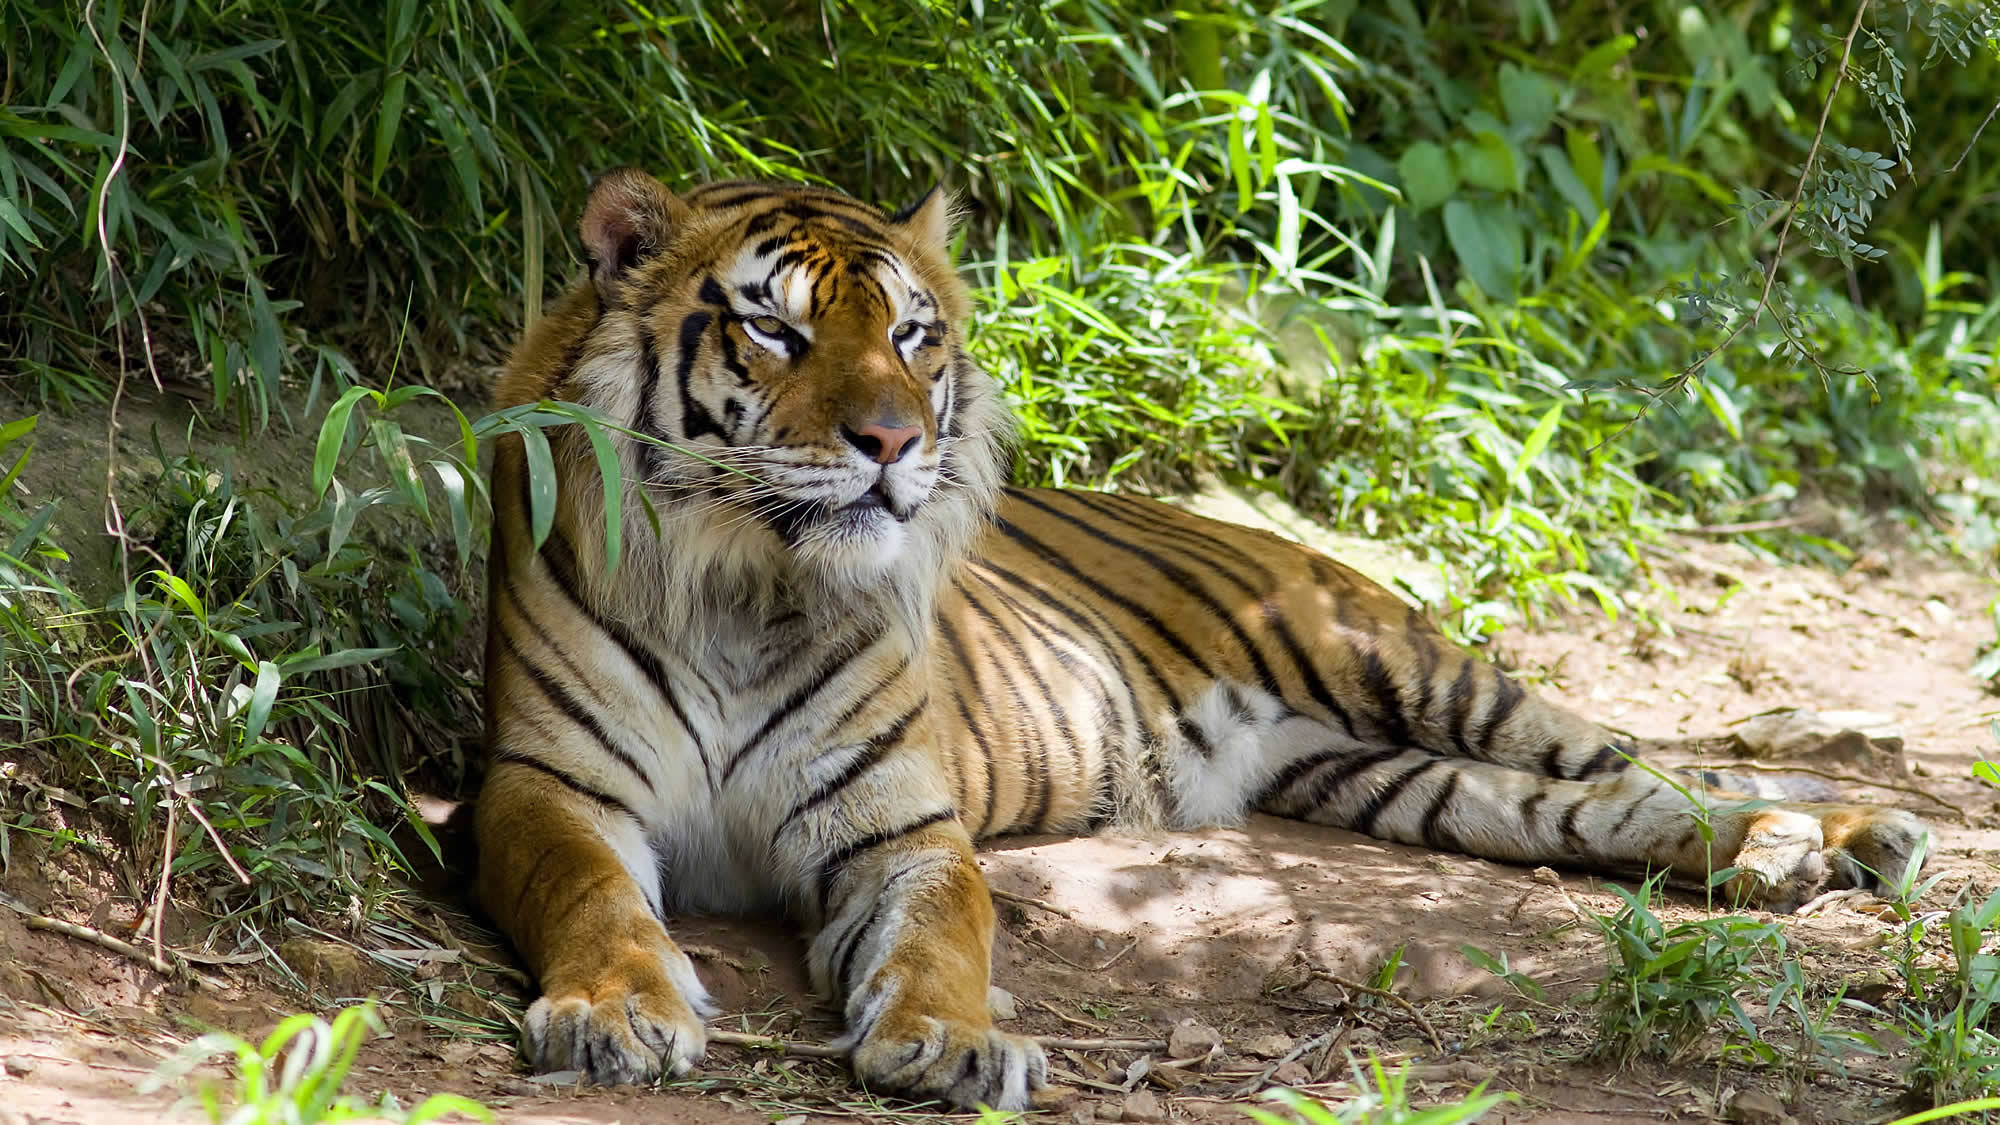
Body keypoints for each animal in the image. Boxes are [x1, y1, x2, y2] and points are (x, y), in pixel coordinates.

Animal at [476, 171, 1928, 1104]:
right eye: (773, 327)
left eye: (911, 334)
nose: (890, 441)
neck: (750, 584)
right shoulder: (545, 787)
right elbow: (591, 896)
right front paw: (618, 1013)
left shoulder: (905, 829)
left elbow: (948, 936)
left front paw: (954, 1044)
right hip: (1382, 777)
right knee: (1592, 811)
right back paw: (1792, 855)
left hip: (1404, 664)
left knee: (1643, 766)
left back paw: (1847, 837)